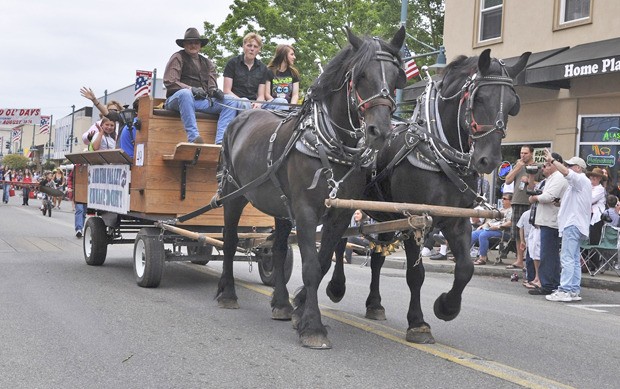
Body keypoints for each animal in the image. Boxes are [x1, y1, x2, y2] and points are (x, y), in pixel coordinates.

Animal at [217, 28, 406, 348]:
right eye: (360, 75)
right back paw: (227, 293)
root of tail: (242, 116)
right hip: (234, 194)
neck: (333, 146)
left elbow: (322, 262)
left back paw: (280, 303)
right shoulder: (305, 211)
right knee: (229, 242)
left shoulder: (340, 214)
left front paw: (299, 311)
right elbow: (310, 267)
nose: (379, 131)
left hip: (280, 206)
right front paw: (313, 327)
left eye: (395, 78)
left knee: (278, 248)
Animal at [326, 48, 532, 342]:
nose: (489, 160)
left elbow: (466, 268)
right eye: (479, 98)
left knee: (376, 259)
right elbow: (416, 274)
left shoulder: (457, 220)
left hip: (386, 215)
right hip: (351, 203)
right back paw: (336, 287)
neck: (438, 154)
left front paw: (446, 306)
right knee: (340, 242)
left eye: (514, 104)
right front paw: (418, 323)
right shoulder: (415, 218)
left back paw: (375, 304)